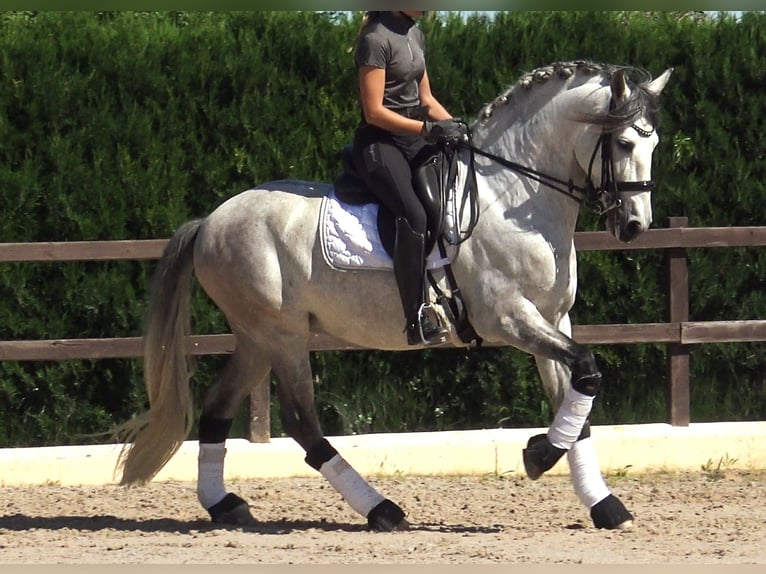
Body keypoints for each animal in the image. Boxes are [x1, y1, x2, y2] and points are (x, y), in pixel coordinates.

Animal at [112, 60, 672, 532]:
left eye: (655, 144)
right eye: (625, 144)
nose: (634, 226)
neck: (512, 198)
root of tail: (210, 221)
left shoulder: (554, 319)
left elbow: (579, 394)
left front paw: (603, 504)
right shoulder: (510, 318)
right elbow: (588, 373)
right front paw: (537, 456)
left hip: (256, 339)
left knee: (217, 407)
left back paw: (225, 505)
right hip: (281, 335)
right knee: (302, 421)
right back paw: (381, 510)